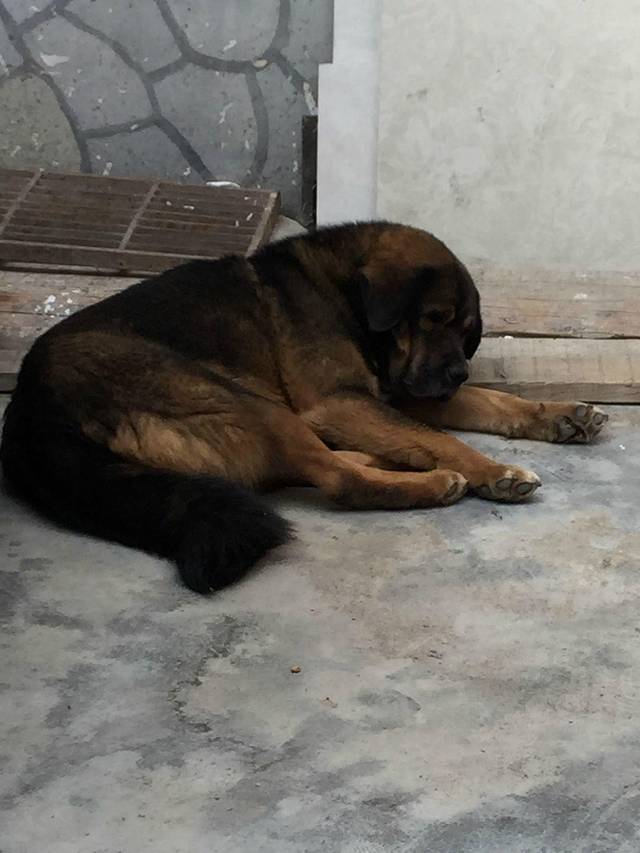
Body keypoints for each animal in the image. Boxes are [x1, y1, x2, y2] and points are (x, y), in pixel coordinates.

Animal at [1, 222, 608, 593]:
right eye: (433, 319)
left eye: (467, 333)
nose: (456, 374)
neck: (345, 292)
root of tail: (31, 419)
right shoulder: (339, 400)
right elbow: (444, 439)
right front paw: (492, 470)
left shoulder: (392, 392)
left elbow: (489, 402)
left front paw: (556, 414)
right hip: (243, 399)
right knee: (335, 478)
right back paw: (429, 482)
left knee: (305, 468)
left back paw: (392, 461)